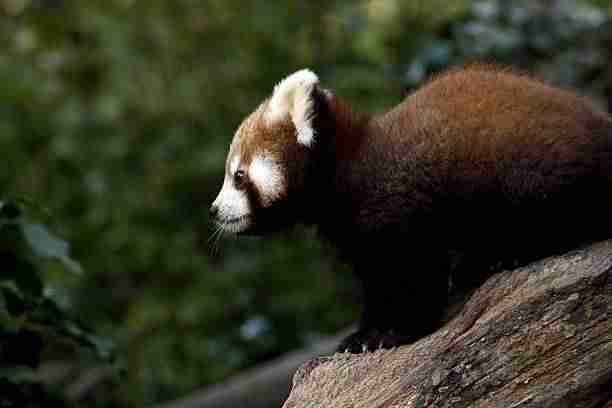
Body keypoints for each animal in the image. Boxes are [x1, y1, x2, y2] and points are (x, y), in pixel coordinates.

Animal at [209, 65, 612, 352]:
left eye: (238, 176)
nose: (213, 210)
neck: (348, 170)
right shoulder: (361, 240)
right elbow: (377, 284)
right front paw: (362, 335)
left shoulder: (402, 210)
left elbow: (416, 275)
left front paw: (396, 333)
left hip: (533, 172)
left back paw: (506, 254)